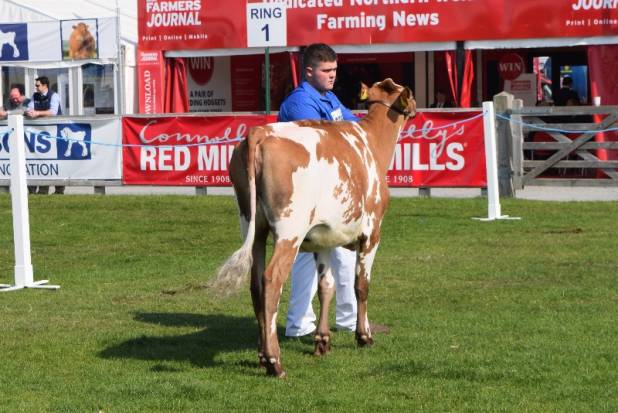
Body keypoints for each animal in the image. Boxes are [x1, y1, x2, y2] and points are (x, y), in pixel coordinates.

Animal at [212, 78, 414, 376]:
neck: (372, 142)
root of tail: (259, 132)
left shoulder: (323, 238)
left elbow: (325, 287)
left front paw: (322, 341)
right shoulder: (372, 233)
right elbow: (361, 285)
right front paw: (363, 336)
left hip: (253, 225)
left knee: (256, 284)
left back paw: (261, 356)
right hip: (289, 232)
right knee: (271, 280)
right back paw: (274, 361)